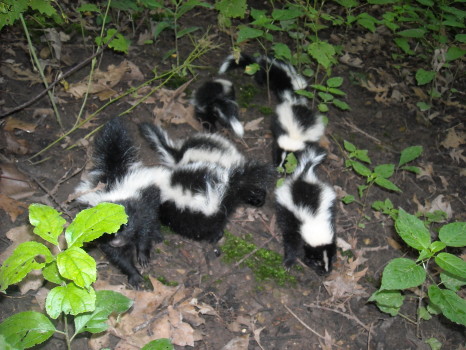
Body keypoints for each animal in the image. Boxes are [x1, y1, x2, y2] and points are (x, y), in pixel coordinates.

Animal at [72, 117, 160, 288]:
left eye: (126, 225)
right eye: (105, 230)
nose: (116, 242)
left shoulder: (142, 207)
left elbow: (144, 232)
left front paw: (143, 257)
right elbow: (118, 257)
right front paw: (135, 276)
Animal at [274, 146, 336, 276]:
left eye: (331, 258)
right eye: (316, 261)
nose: (325, 272)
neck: (314, 219)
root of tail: (304, 176)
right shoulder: (295, 226)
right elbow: (292, 244)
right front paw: (288, 262)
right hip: (283, 206)